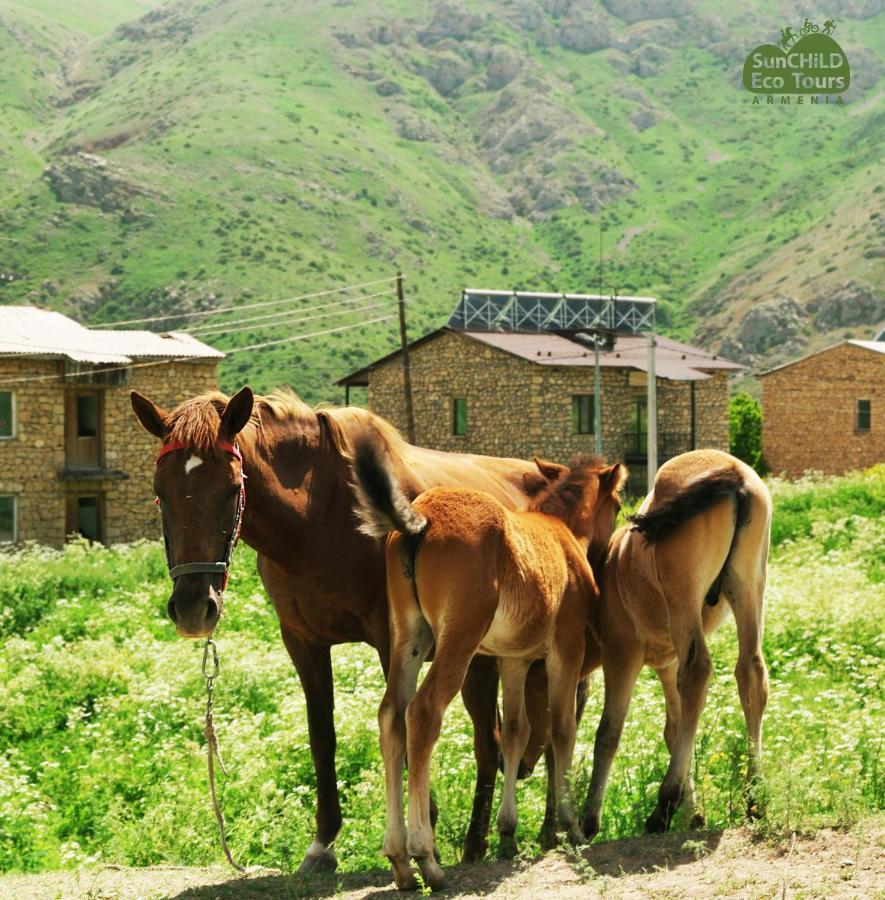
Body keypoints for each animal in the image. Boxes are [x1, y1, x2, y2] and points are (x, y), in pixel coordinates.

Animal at [129, 384, 564, 872]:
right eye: (159, 492)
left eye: (231, 489)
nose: (191, 609)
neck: (318, 518)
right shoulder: (302, 641)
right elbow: (323, 735)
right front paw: (323, 842)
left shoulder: (391, 641)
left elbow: (403, 729)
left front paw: (421, 832)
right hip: (484, 659)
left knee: (506, 739)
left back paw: (509, 837)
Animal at [348, 438, 624, 892]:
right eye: (617, 504)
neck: (561, 533)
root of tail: (417, 522)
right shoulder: (565, 650)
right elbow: (561, 731)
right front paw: (570, 825)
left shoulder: (513, 659)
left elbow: (513, 733)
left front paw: (508, 833)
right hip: (458, 639)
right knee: (422, 713)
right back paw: (426, 857)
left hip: (409, 638)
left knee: (391, 716)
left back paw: (400, 859)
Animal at [580, 448, 768, 836]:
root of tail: (732, 470)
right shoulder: (667, 663)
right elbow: (676, 726)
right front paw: (693, 813)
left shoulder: (621, 653)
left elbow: (608, 732)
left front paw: (589, 819)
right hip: (748, 588)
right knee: (751, 673)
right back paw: (754, 796)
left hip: (683, 597)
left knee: (698, 670)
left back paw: (663, 806)